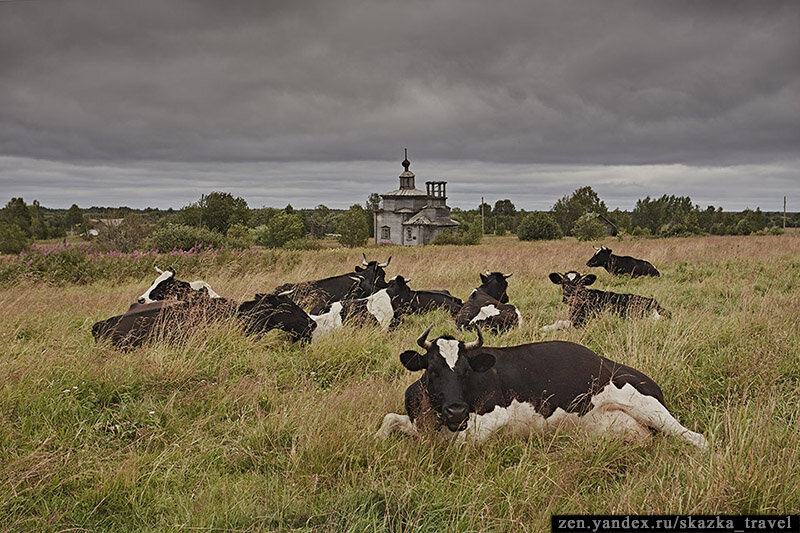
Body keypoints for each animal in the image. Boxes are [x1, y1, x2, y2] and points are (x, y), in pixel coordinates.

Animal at [376, 324, 708, 448]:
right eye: (431, 370)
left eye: (466, 370)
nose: (456, 412)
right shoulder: (418, 423)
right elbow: (388, 420)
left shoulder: (495, 417)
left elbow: (457, 446)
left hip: (650, 408)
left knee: (698, 439)